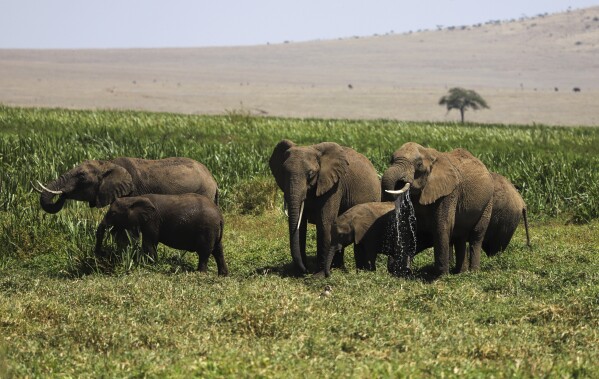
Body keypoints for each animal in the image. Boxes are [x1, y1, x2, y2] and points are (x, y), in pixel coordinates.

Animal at [35, 156, 218, 214]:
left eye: (82, 176)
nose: (64, 193)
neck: (108, 164)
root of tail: (213, 180)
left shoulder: (132, 192)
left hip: (204, 191)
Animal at [95, 193, 229, 276]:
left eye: (113, 213)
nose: (100, 256)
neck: (134, 198)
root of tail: (220, 217)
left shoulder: (152, 220)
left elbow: (149, 243)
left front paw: (152, 266)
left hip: (207, 229)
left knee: (205, 252)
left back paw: (200, 273)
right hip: (214, 231)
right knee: (218, 250)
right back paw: (223, 275)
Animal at [270, 141, 382, 274]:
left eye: (310, 174)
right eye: (283, 172)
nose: (306, 270)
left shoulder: (335, 185)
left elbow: (325, 223)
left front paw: (319, 274)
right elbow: (301, 227)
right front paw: (298, 273)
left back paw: (360, 270)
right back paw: (337, 267)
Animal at [382, 142, 494, 276]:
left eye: (419, 164)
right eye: (391, 160)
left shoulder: (449, 192)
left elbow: (442, 225)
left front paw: (441, 276)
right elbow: (407, 225)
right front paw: (402, 272)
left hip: (488, 202)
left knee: (476, 236)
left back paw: (473, 272)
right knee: (460, 237)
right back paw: (460, 272)